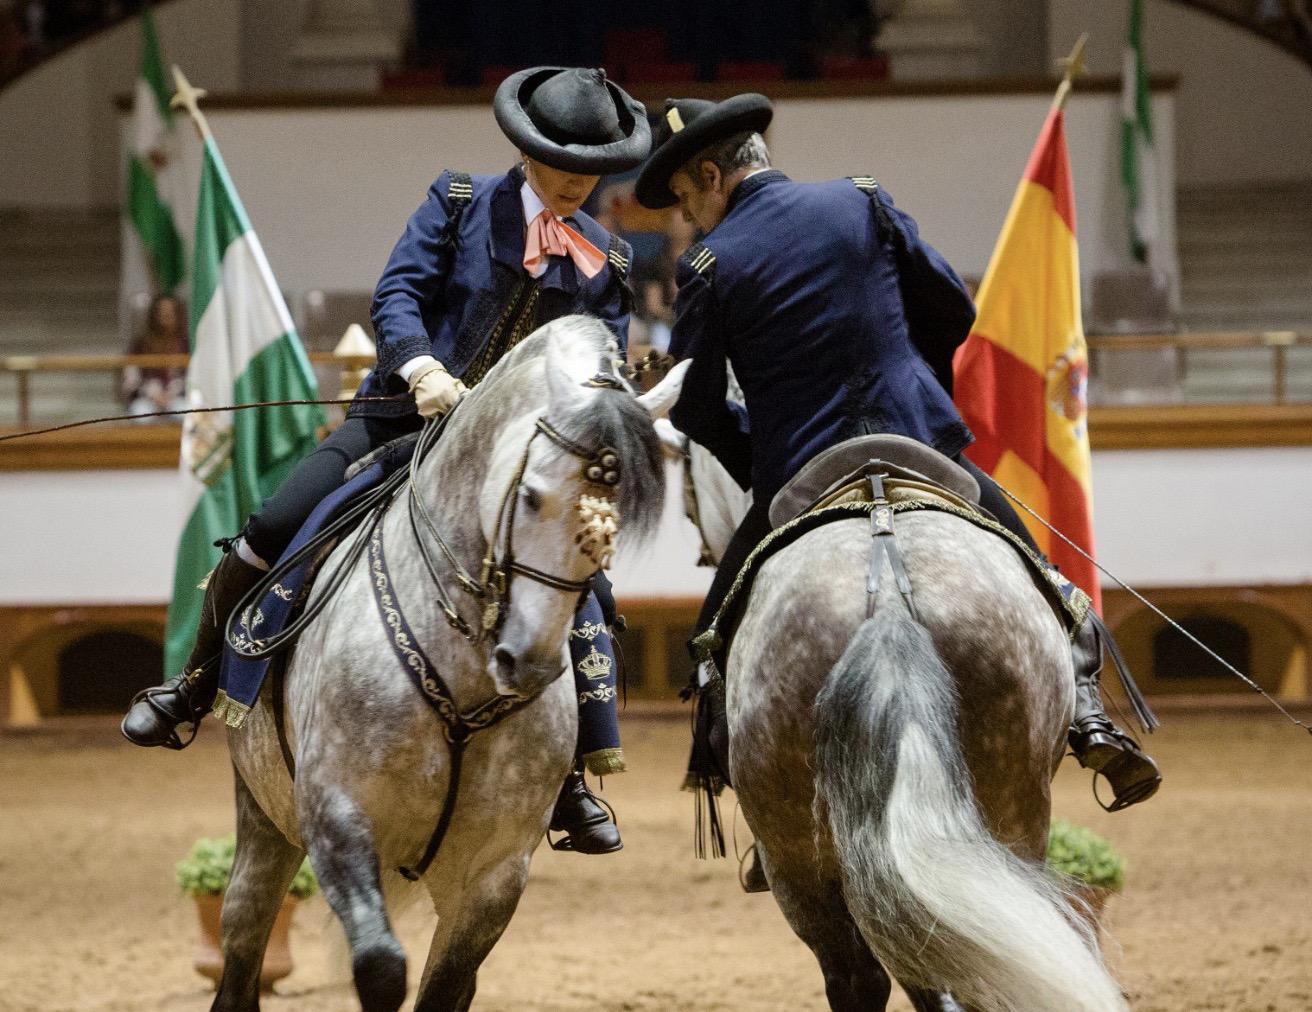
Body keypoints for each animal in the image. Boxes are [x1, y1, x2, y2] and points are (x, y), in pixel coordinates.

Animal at [211, 318, 682, 1012]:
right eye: (532, 496)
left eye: (613, 520)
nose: (528, 662)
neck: (459, 681)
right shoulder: (335, 819)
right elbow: (381, 968)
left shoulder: (492, 876)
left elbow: (446, 984)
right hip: (263, 817)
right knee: (242, 948)